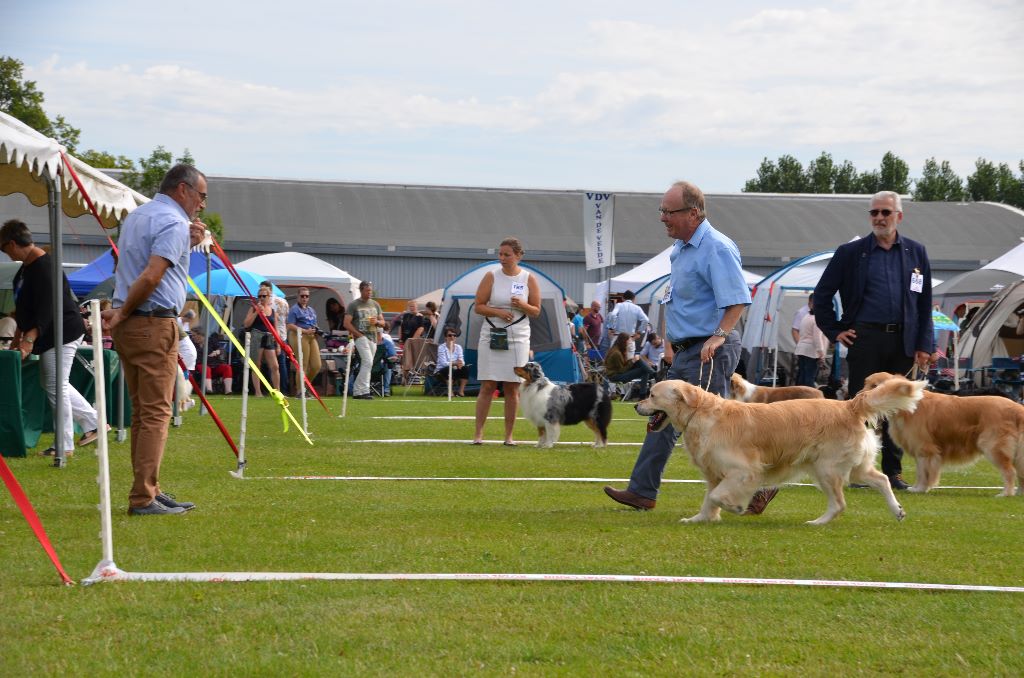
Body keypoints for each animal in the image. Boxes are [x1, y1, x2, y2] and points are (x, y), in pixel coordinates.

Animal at [635, 376, 924, 524]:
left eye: (651, 395)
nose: (636, 405)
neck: (701, 415)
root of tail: (848, 405)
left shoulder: (743, 471)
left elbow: (717, 496)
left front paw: (734, 507)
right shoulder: (715, 473)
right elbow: (709, 498)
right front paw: (699, 518)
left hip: (826, 468)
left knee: (840, 503)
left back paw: (817, 522)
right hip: (852, 468)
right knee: (882, 479)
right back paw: (897, 510)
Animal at [864, 372, 1024, 496]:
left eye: (875, 386)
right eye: (867, 383)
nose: (860, 396)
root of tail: (1017, 407)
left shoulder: (925, 450)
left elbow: (923, 473)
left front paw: (920, 489)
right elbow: (920, 472)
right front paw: (917, 488)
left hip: (993, 447)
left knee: (1009, 471)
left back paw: (1006, 493)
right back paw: (1019, 493)